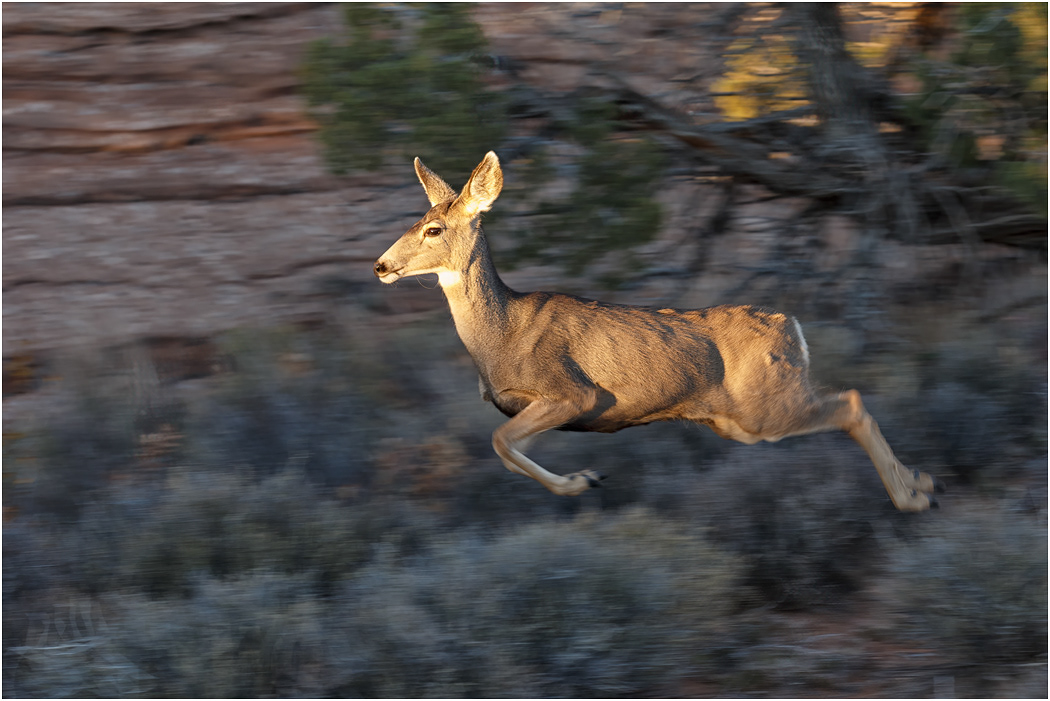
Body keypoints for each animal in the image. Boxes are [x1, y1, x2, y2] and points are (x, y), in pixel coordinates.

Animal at [373, 151, 943, 511]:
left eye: (433, 229)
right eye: (415, 221)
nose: (381, 265)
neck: (500, 337)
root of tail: (792, 328)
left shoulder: (573, 392)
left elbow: (500, 443)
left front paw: (583, 480)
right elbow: (509, 452)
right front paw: (584, 478)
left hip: (763, 407)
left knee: (851, 402)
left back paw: (915, 494)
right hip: (736, 420)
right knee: (847, 401)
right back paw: (920, 484)